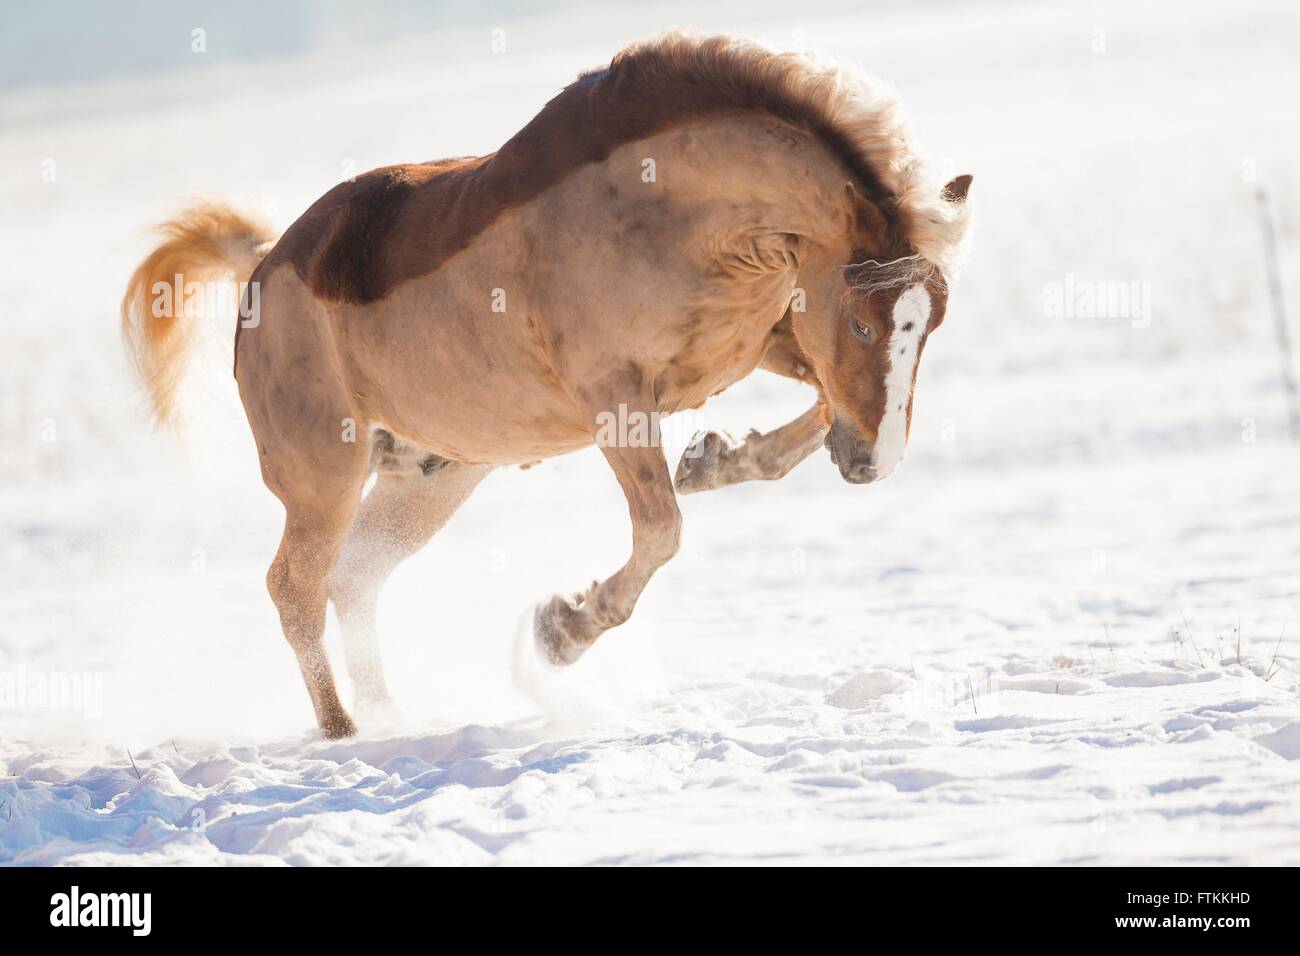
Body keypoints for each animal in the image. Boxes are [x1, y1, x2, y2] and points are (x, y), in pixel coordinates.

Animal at [124, 31, 977, 738]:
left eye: (930, 324)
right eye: (864, 324)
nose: (870, 465)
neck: (672, 211)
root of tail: (266, 264)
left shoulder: (764, 341)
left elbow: (814, 409)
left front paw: (714, 458)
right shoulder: (615, 400)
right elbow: (662, 528)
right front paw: (561, 630)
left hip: (430, 477)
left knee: (354, 579)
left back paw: (390, 715)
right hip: (323, 478)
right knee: (295, 590)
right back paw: (344, 733)